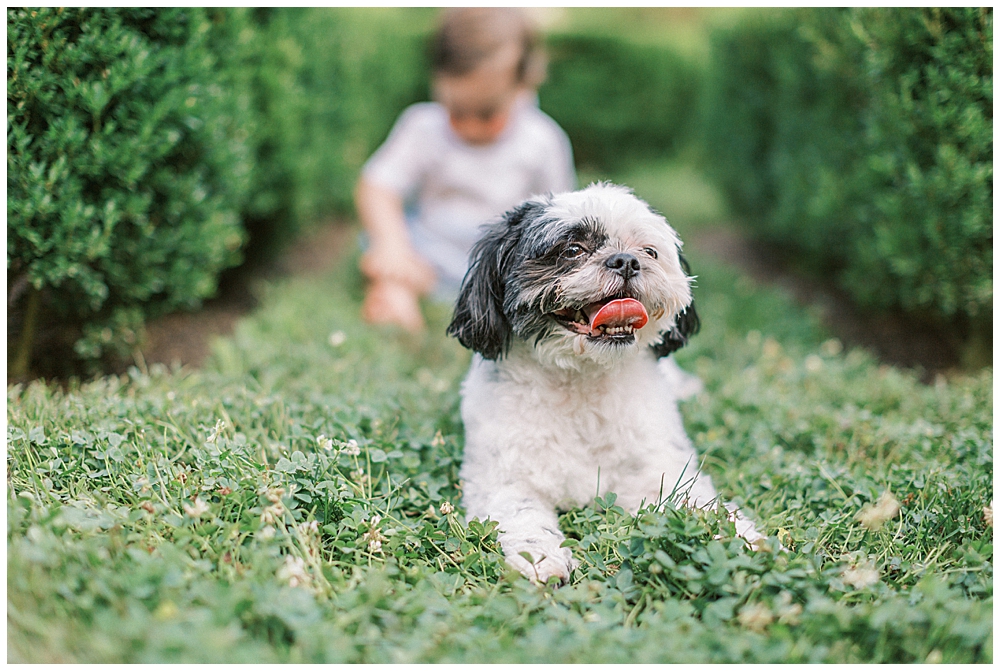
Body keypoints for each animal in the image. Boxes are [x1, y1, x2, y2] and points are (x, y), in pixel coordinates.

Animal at [450, 182, 760, 584]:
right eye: (572, 250)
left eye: (649, 251)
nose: (626, 261)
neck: (582, 383)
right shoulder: (503, 478)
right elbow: (523, 515)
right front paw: (541, 558)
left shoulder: (660, 468)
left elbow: (699, 503)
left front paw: (742, 536)